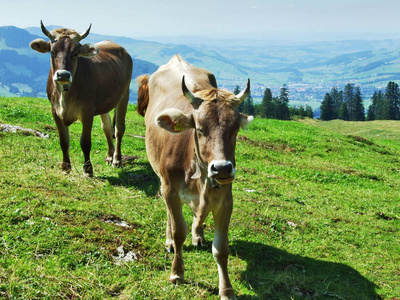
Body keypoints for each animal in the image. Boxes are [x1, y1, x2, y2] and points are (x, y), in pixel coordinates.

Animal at [30, 21, 133, 176]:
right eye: (53, 51)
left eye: (75, 53)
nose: (63, 74)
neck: (65, 95)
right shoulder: (55, 111)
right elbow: (64, 141)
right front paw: (65, 167)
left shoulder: (87, 112)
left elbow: (85, 142)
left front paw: (88, 169)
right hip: (106, 103)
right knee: (107, 127)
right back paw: (109, 156)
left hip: (124, 94)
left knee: (119, 129)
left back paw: (116, 159)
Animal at [136, 55, 252, 298]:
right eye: (199, 129)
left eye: (235, 129)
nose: (222, 168)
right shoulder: (170, 189)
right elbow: (178, 231)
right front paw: (177, 272)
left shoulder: (225, 200)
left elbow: (221, 248)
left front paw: (226, 289)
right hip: (162, 182)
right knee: (170, 215)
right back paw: (170, 240)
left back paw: (198, 234)